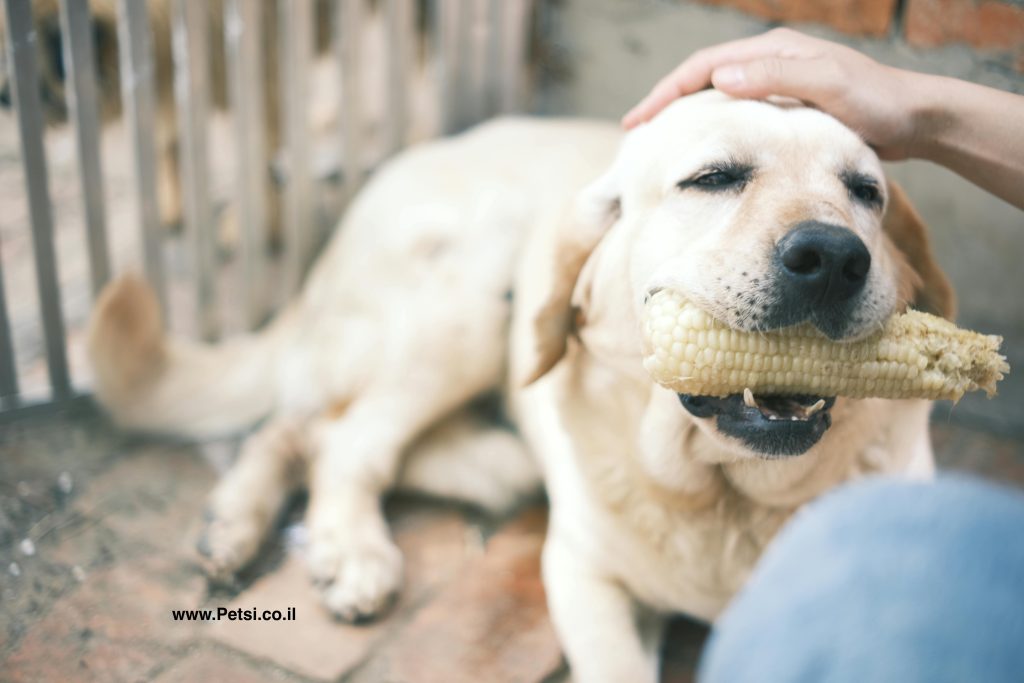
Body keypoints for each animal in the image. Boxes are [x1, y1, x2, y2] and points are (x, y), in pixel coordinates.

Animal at [86, 89, 950, 679]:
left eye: (865, 192)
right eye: (714, 177)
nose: (832, 256)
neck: (724, 500)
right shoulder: (583, 575)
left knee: (311, 428)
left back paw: (236, 521)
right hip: (471, 303)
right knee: (340, 437)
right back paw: (345, 547)